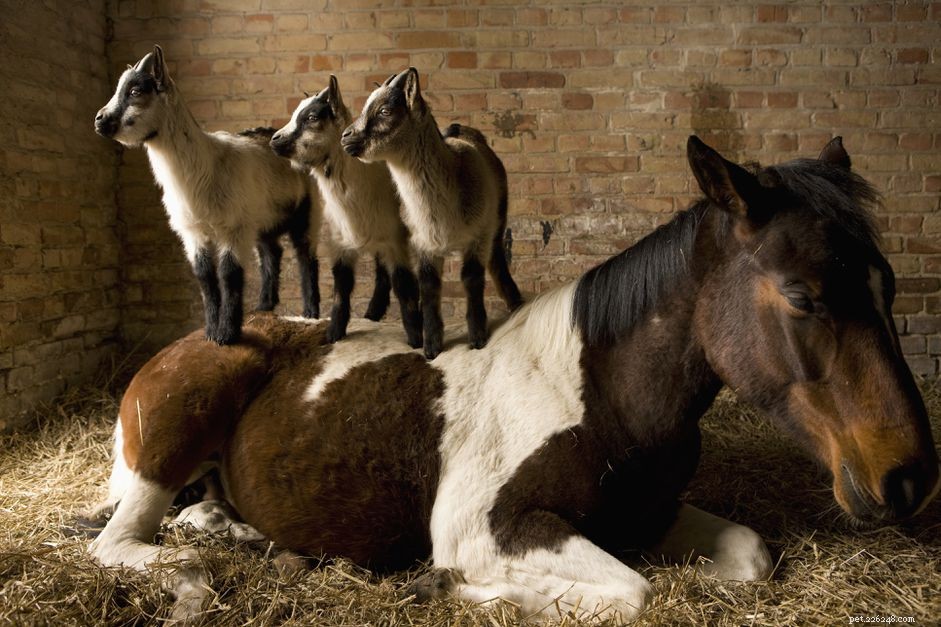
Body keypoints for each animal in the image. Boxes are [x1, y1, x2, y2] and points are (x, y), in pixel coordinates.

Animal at [86, 136, 939, 622]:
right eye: (801, 295)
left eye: (887, 284)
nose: (907, 476)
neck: (600, 395)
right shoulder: (485, 528)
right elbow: (634, 592)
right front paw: (446, 589)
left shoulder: (651, 513)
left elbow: (751, 557)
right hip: (169, 440)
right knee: (121, 540)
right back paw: (205, 570)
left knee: (200, 514)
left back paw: (248, 537)